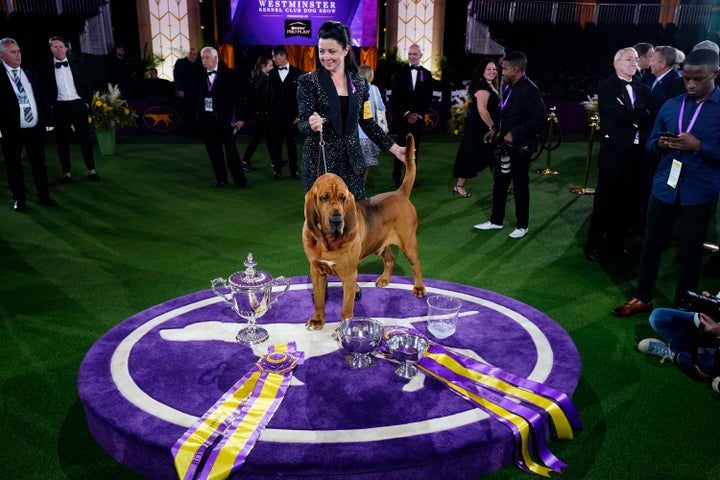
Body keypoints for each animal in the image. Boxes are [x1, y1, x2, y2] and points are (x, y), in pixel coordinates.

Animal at [300, 134, 424, 330]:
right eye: (324, 198)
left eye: (343, 198)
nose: (337, 221)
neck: (328, 240)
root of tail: (400, 193)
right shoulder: (316, 270)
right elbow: (319, 300)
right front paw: (317, 321)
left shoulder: (349, 275)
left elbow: (346, 307)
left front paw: (344, 329)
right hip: (380, 243)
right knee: (390, 258)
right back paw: (384, 279)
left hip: (408, 243)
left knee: (416, 264)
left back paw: (419, 288)